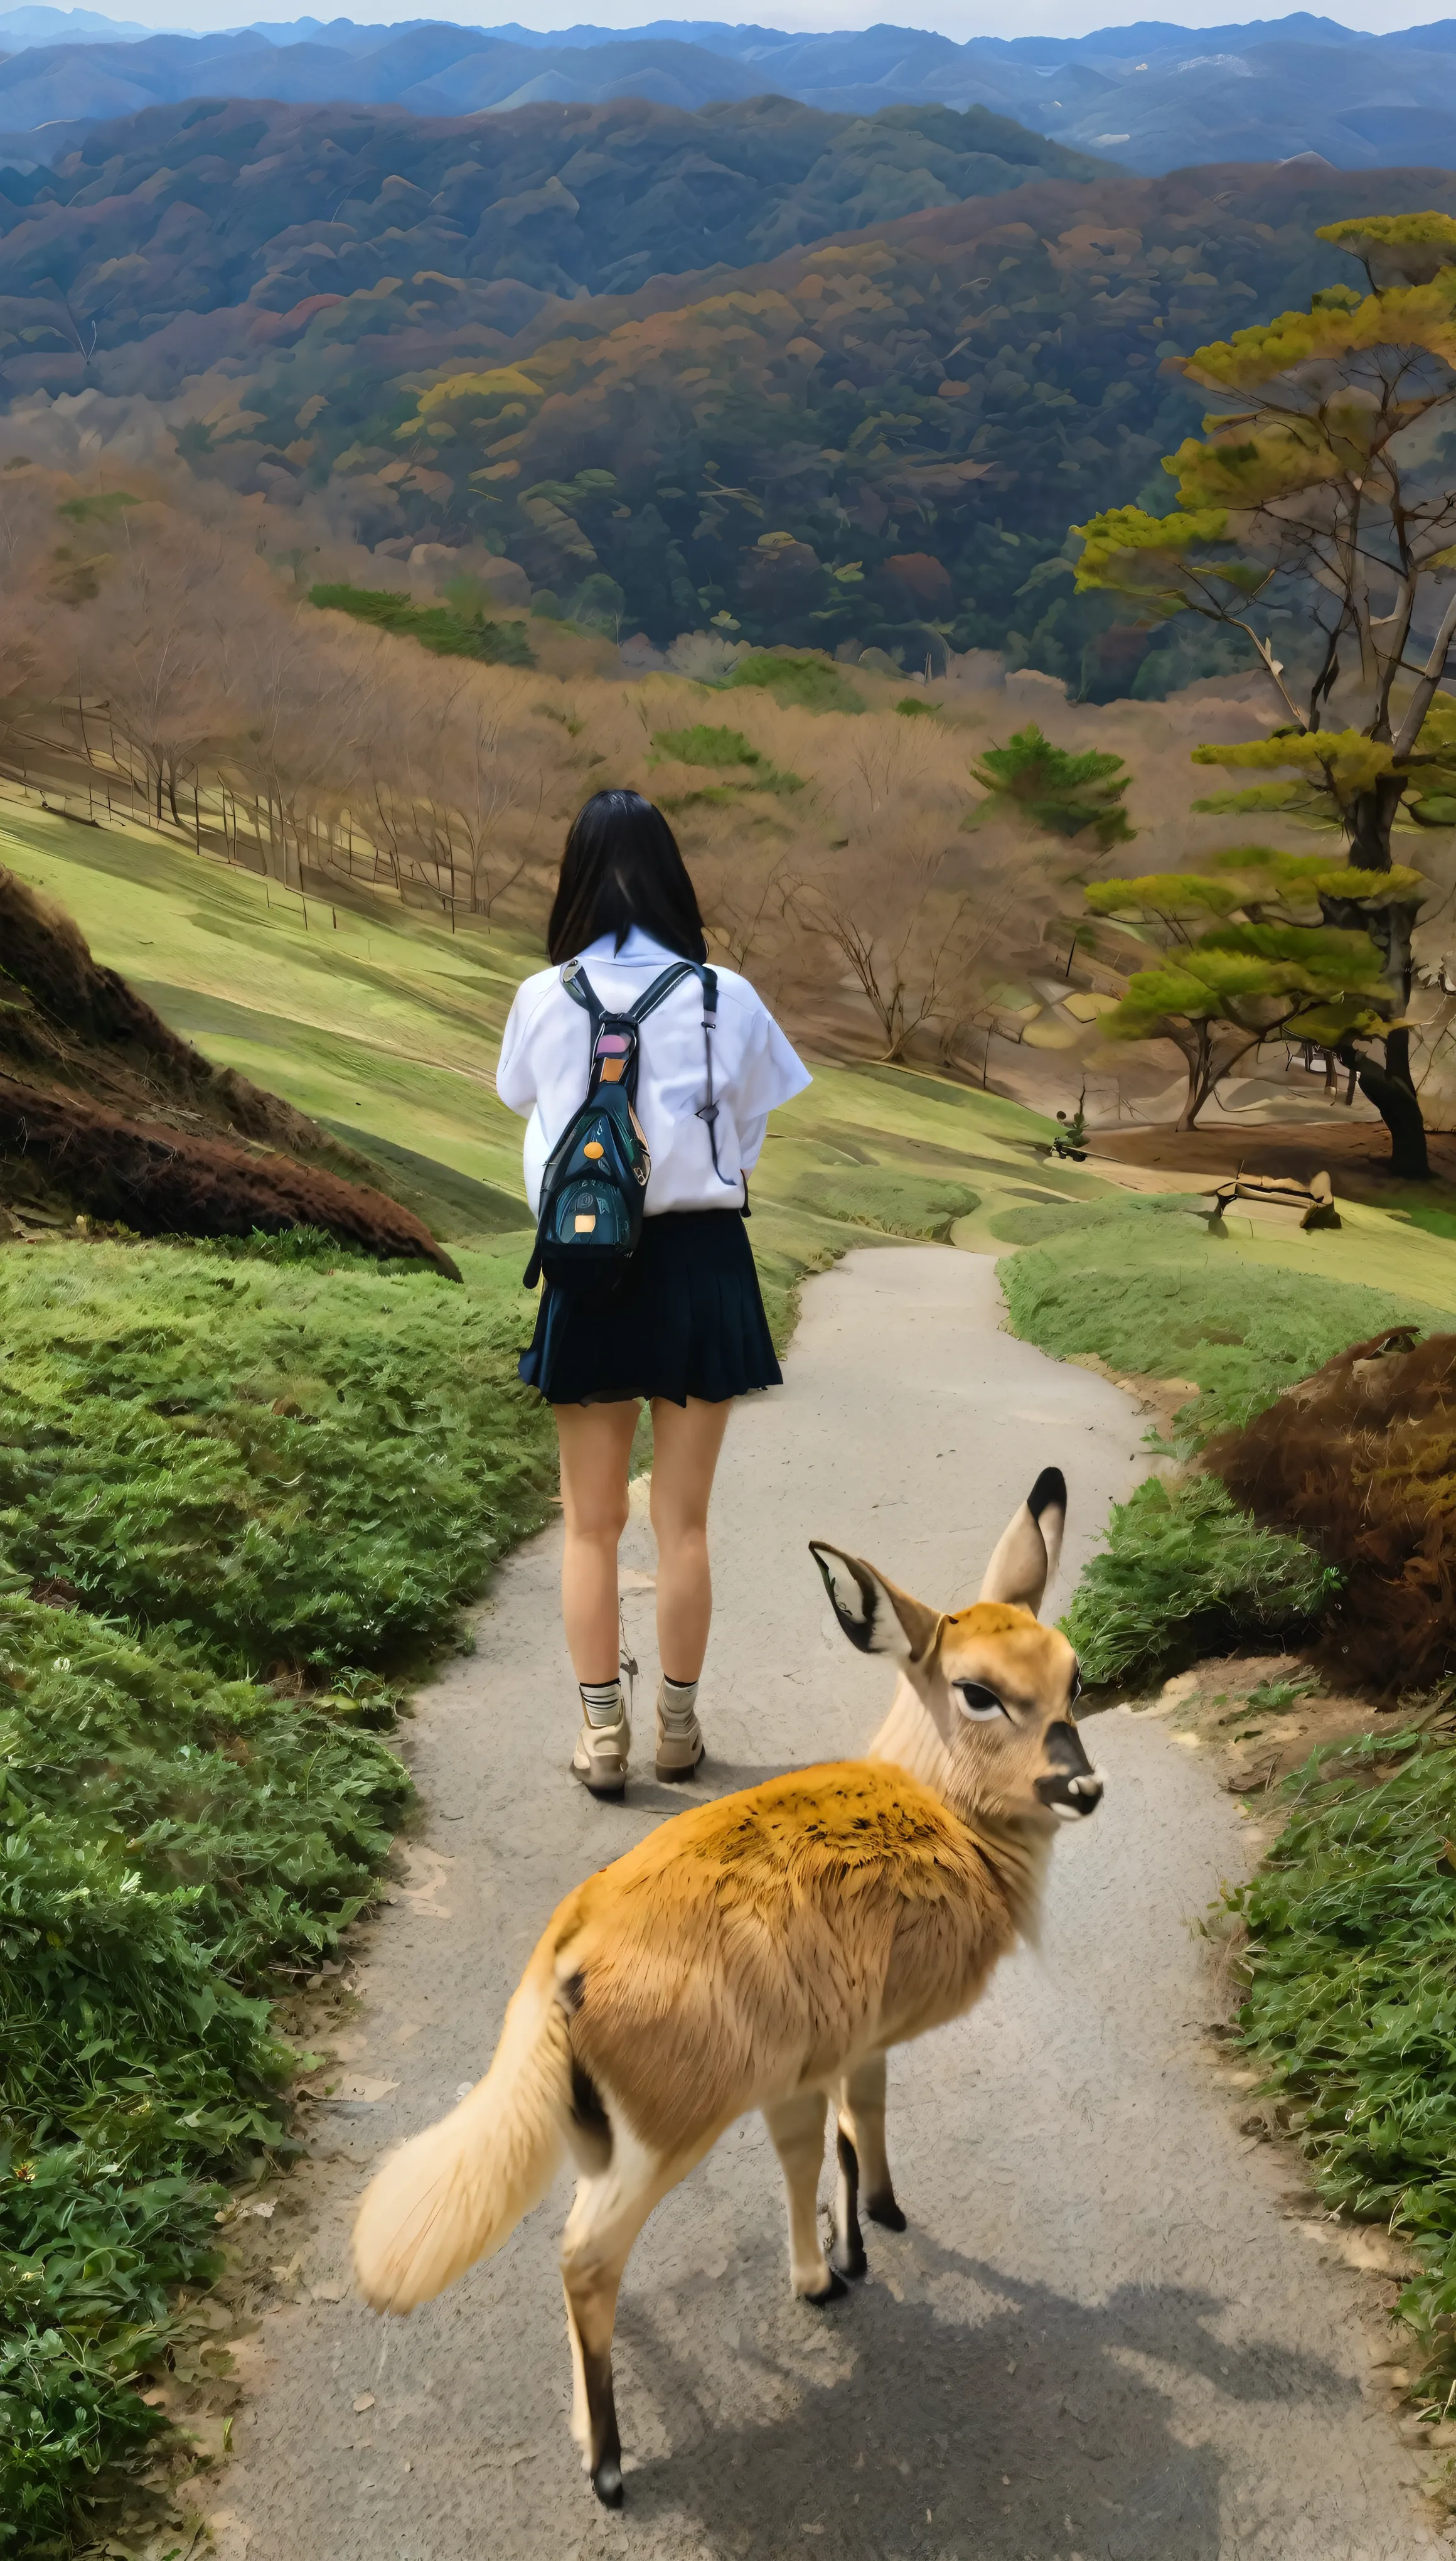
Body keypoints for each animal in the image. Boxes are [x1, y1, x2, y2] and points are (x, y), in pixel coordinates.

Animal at [355, 1464, 1100, 2499]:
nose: (1082, 1786)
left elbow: (813, 2147)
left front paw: (834, 2262)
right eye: (978, 1691)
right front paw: (867, 2239)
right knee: (586, 2255)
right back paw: (610, 2468)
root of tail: (559, 1968)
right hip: (673, 2126)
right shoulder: (855, 2040)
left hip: (603, 2131)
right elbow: (851, 2128)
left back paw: (587, 2425)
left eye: (1077, 1676)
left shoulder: (805, 2061)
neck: (946, 1825)